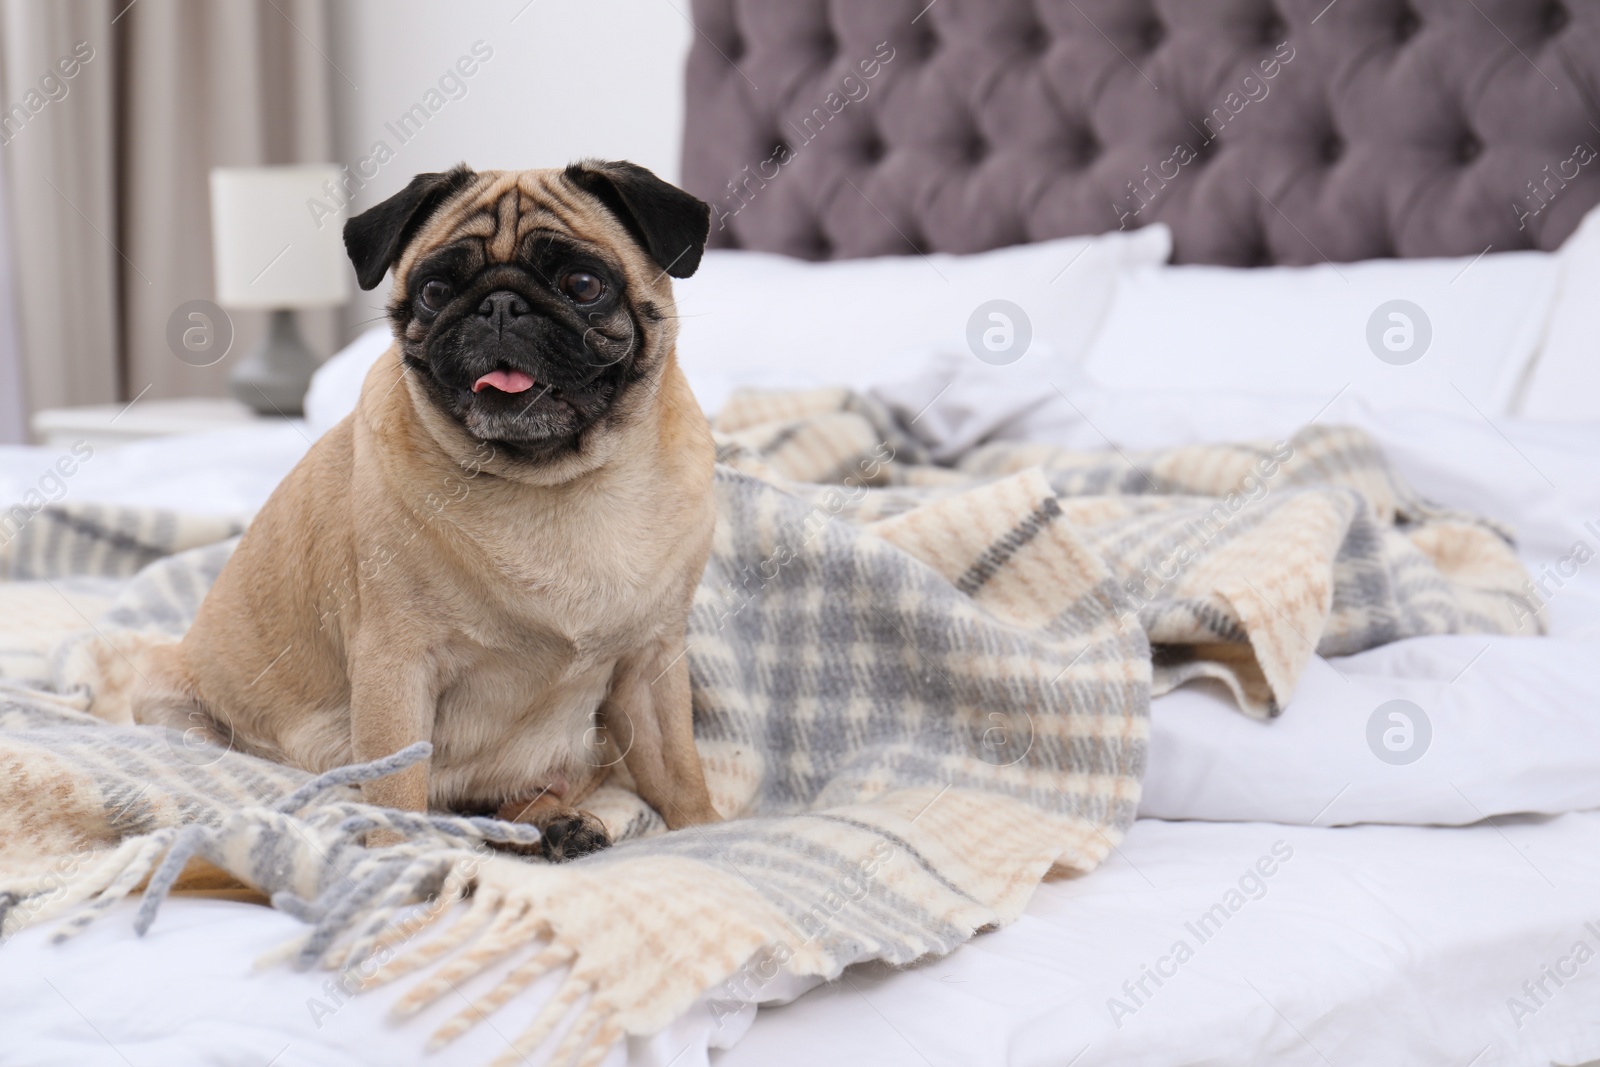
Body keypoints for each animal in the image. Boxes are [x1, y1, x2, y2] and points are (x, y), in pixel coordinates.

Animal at [134, 160, 723, 857]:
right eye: (436, 291)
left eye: (583, 284)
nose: (501, 304)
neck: (555, 483)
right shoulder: (396, 667)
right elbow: (397, 785)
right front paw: (399, 858)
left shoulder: (653, 662)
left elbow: (677, 768)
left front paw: (707, 832)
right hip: (166, 696)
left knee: (525, 795)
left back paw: (553, 824)